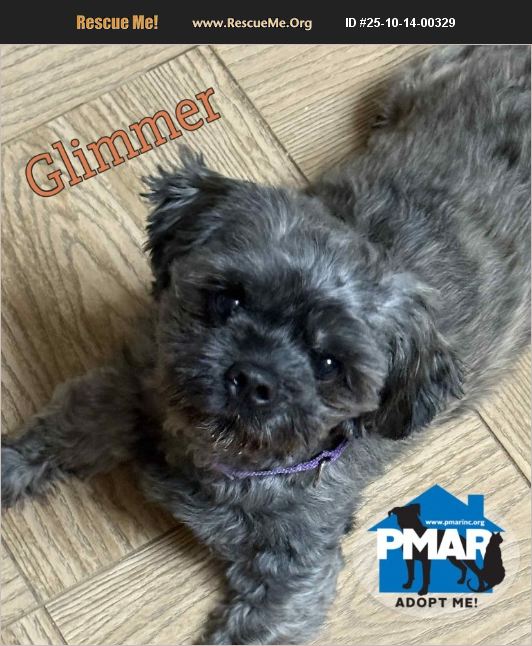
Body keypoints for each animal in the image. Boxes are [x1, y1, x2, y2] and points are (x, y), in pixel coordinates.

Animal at [2, 46, 530, 644]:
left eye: (329, 363)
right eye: (227, 299)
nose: (254, 378)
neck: (216, 457)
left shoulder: (293, 576)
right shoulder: (129, 384)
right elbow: (52, 437)